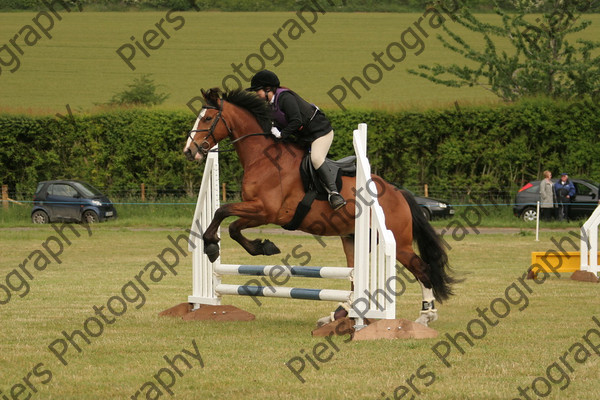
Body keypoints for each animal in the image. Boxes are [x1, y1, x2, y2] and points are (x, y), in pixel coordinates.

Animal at [180, 87, 458, 324]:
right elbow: (232, 226)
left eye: (207, 118)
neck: (263, 157)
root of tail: (396, 192)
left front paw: (215, 247)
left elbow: (223, 212)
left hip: (397, 242)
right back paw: (338, 315)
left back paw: (426, 315)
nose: (189, 151)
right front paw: (258, 246)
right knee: (355, 279)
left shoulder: (266, 210)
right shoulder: (258, 211)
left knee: (421, 268)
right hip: (352, 238)